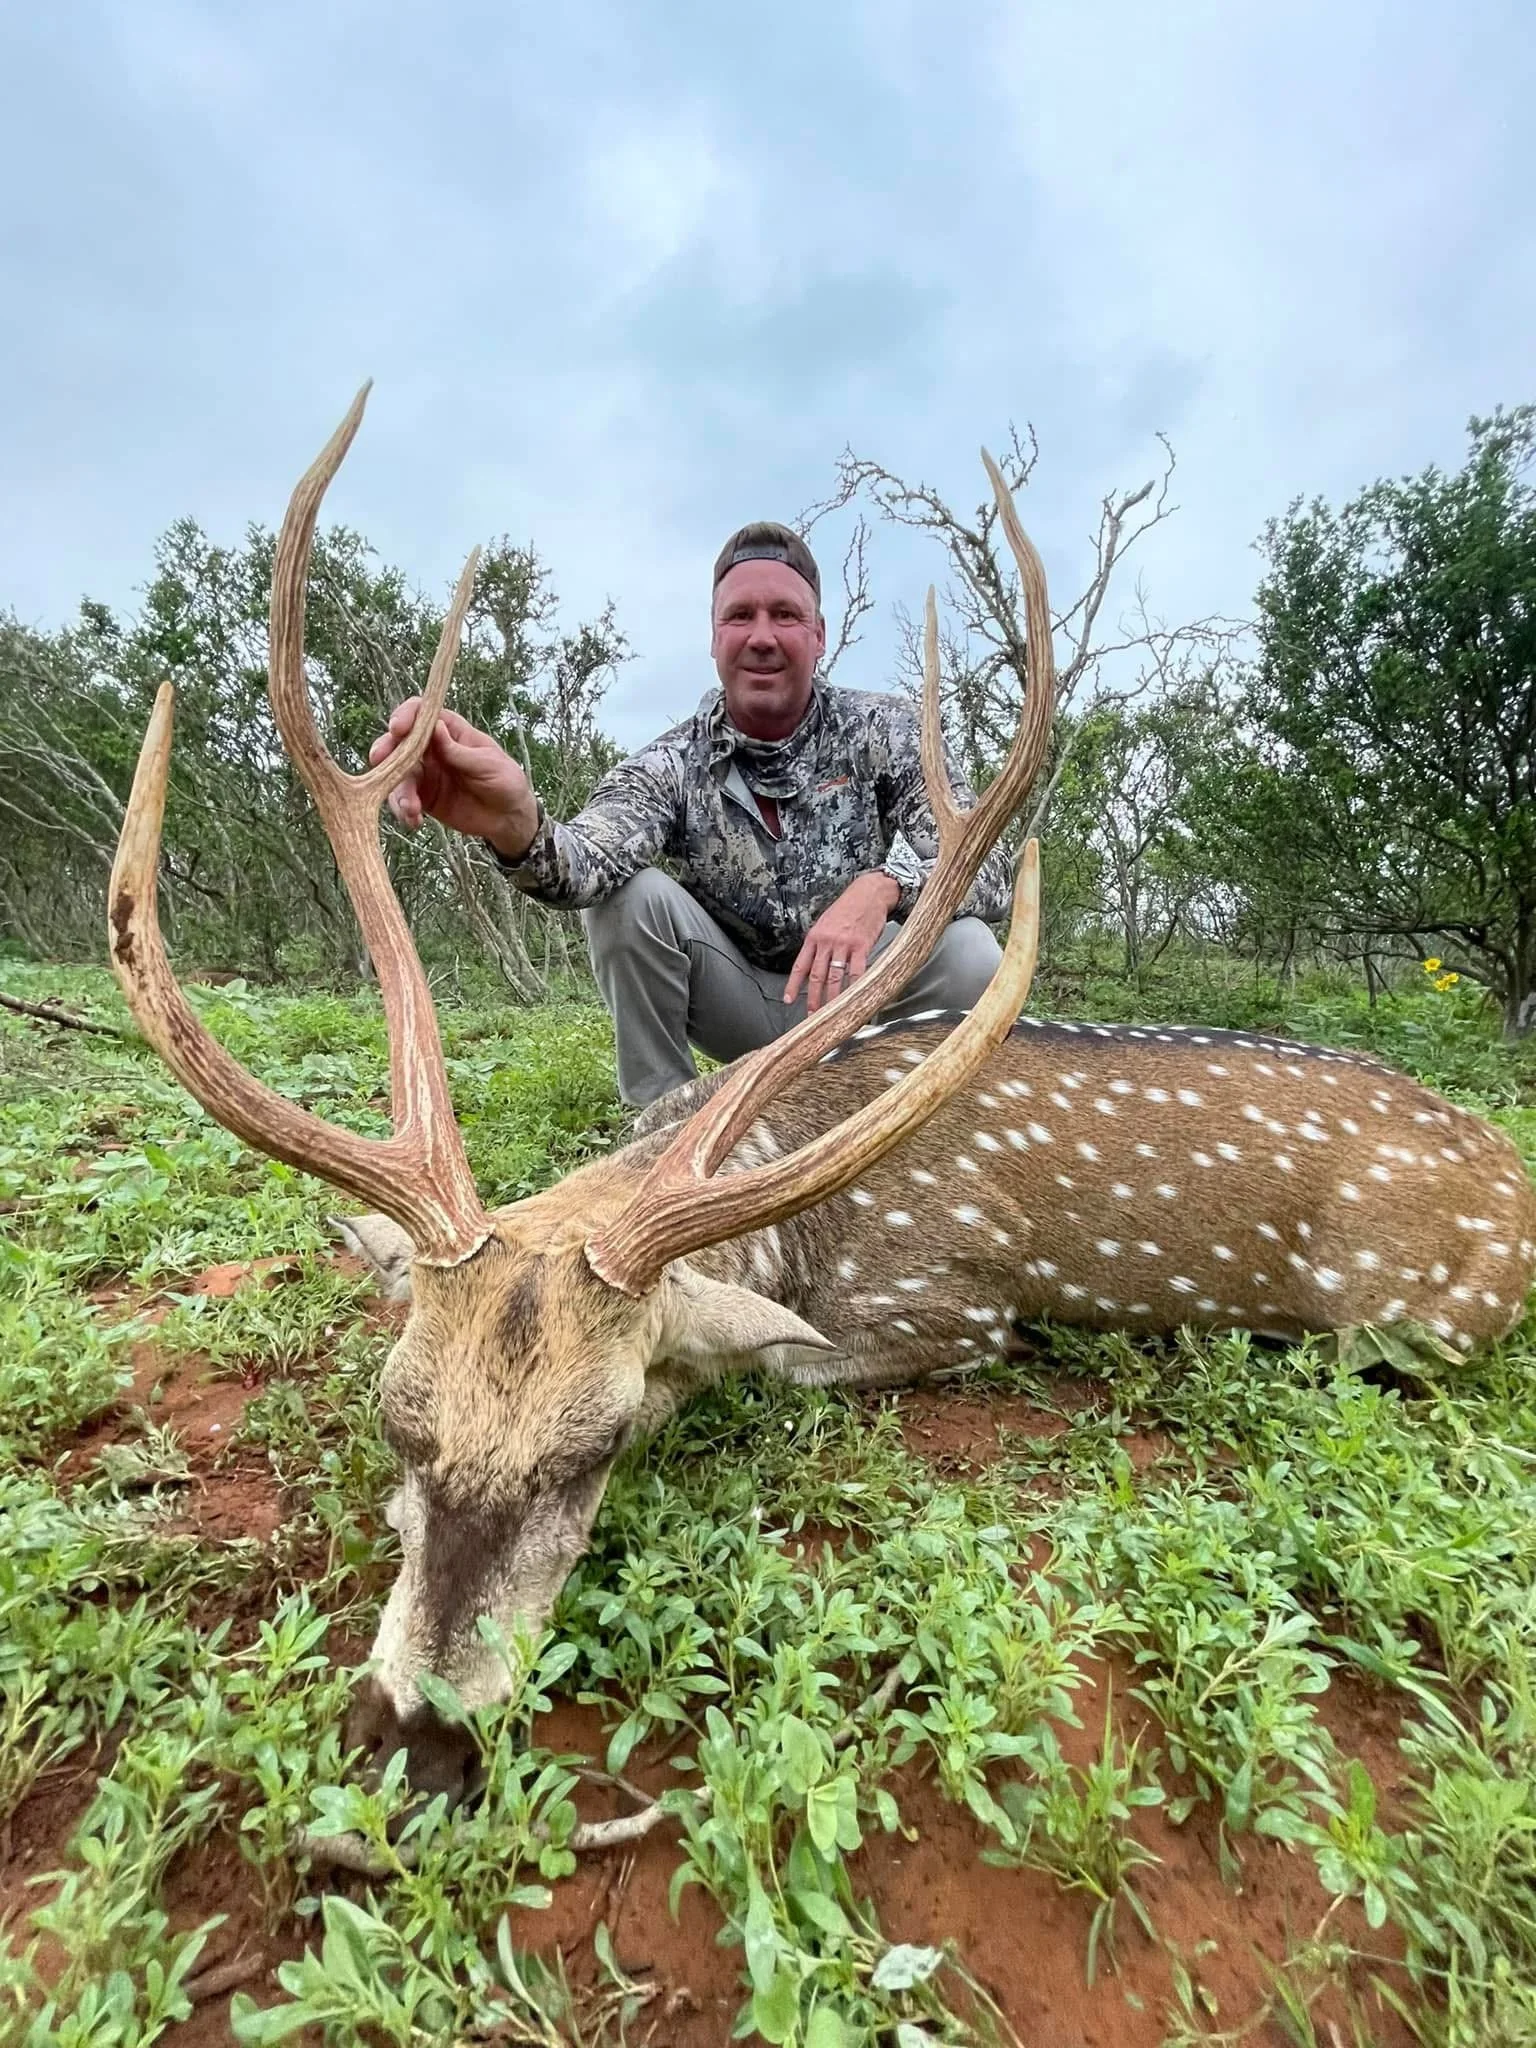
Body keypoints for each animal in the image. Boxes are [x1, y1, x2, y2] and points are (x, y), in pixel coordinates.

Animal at [108, 389, 1536, 1802]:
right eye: (396, 1418)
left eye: (601, 1441)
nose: (416, 1733)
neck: (788, 1214)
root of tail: (1511, 1172)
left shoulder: (955, 1301)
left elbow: (788, 1367)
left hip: (1418, 1318)